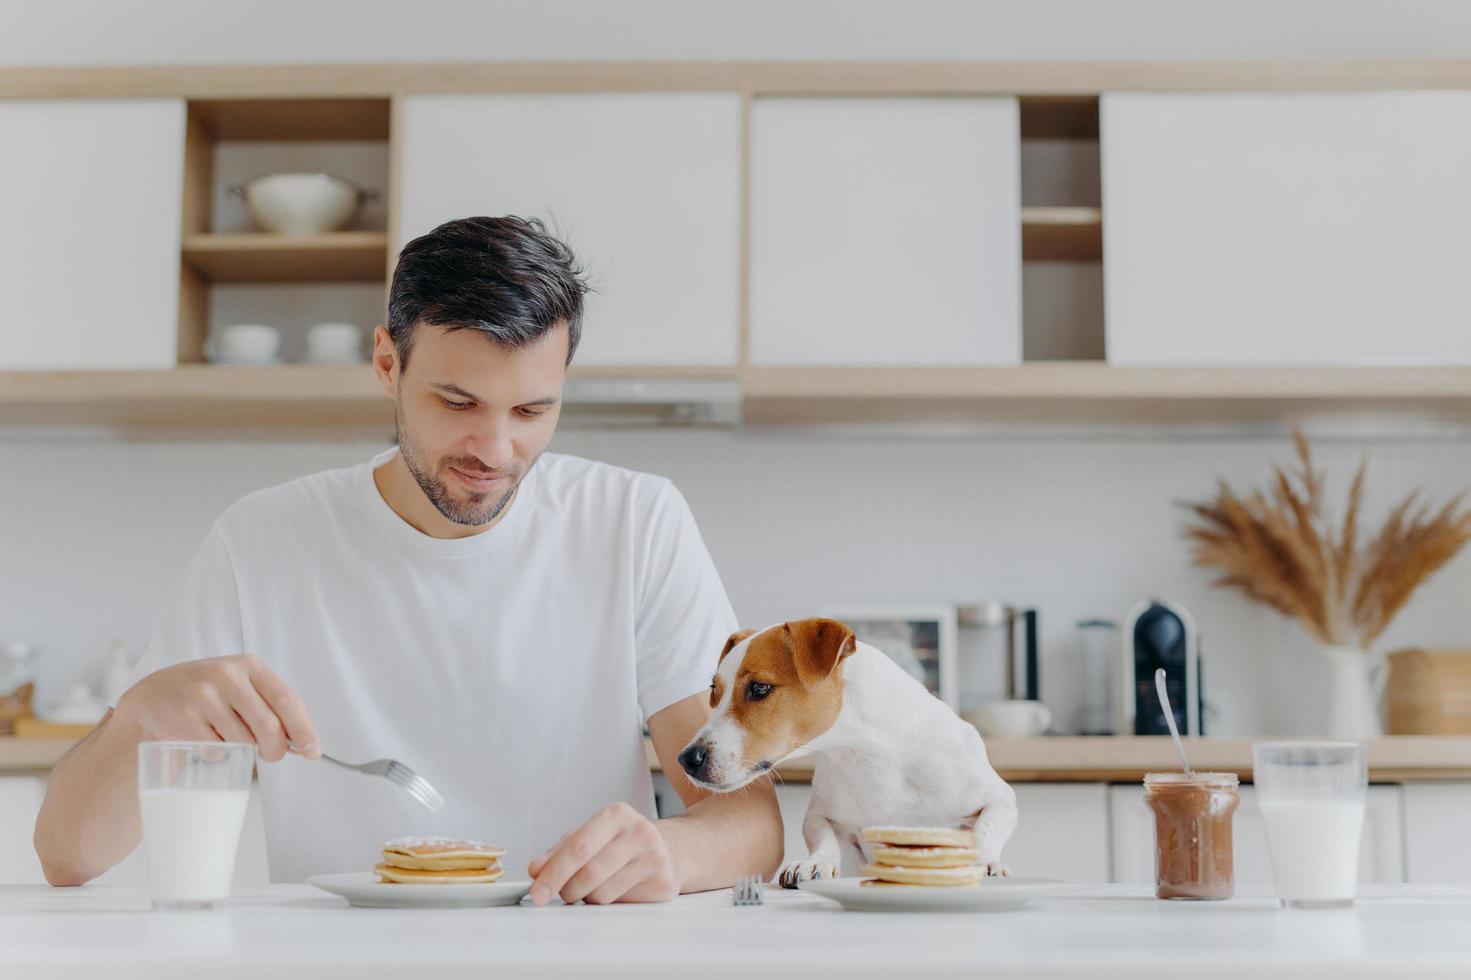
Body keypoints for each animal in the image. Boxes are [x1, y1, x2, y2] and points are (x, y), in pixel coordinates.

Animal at [673, 618, 1012, 882]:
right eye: (714, 690)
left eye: (759, 688)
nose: (687, 759)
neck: (868, 754)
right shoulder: (821, 814)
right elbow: (824, 838)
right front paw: (814, 864)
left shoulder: (1001, 798)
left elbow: (985, 830)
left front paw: (984, 864)